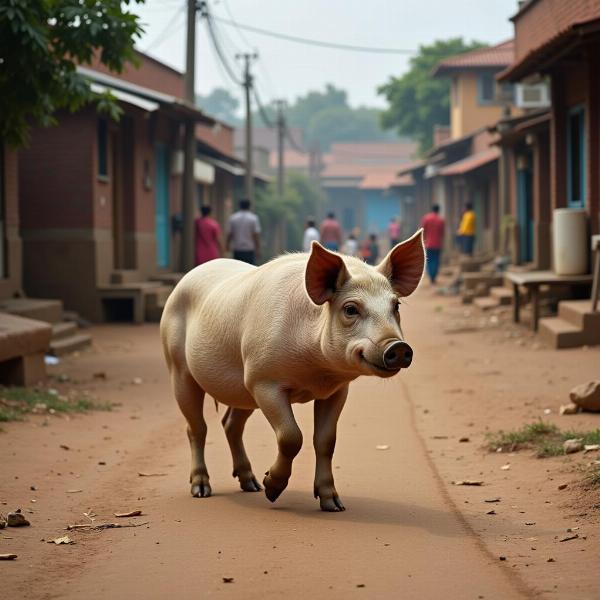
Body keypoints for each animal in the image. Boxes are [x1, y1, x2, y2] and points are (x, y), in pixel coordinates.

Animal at [158, 230, 422, 510]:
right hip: (178, 367)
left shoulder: (336, 390)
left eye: (396, 306)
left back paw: (251, 484)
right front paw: (272, 491)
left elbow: (326, 441)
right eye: (350, 309)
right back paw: (202, 490)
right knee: (197, 427)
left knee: (230, 424)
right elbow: (291, 436)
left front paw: (333, 505)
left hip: (242, 389)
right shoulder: (263, 380)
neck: (315, 372)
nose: (399, 346)